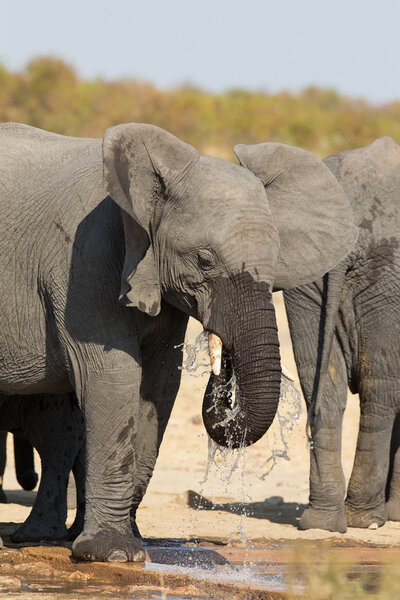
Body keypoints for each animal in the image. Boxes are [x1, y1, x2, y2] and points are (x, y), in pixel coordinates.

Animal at [239, 137, 400, 536]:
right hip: (387, 273)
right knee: (380, 390)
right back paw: (364, 520)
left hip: (308, 276)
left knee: (324, 389)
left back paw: (322, 522)